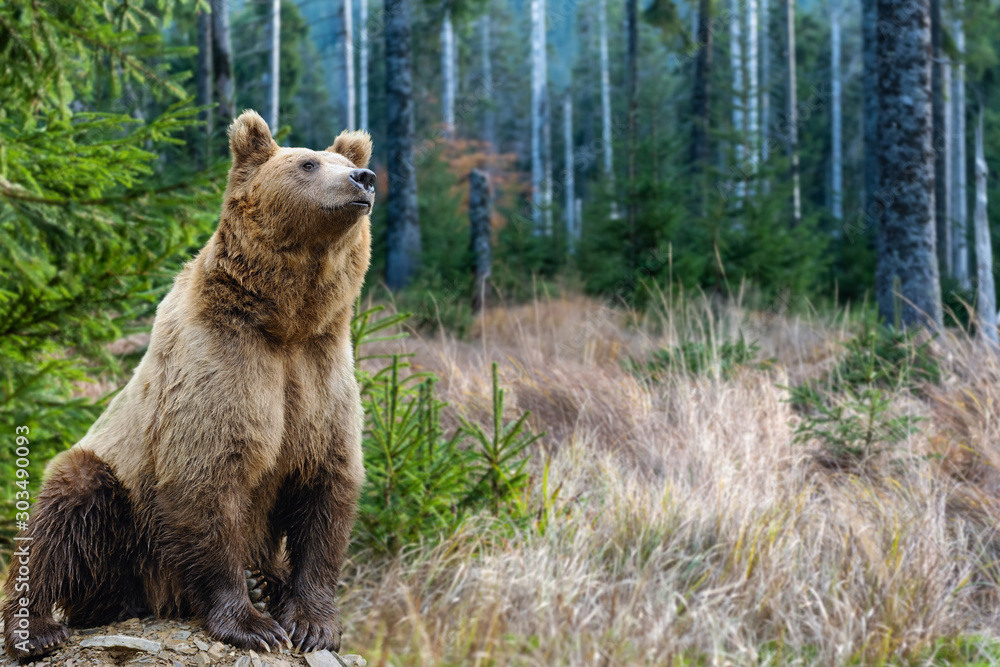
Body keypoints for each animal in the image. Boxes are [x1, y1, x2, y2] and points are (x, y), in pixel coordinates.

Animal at [0, 109, 376, 656]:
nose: (363, 179)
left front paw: (312, 621)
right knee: (64, 513)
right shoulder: (218, 363)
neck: (285, 322)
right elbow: (208, 477)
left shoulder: (320, 375)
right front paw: (252, 624)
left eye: (346, 161)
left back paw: (268, 580)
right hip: (121, 508)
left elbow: (326, 487)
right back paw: (38, 629)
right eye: (307, 163)